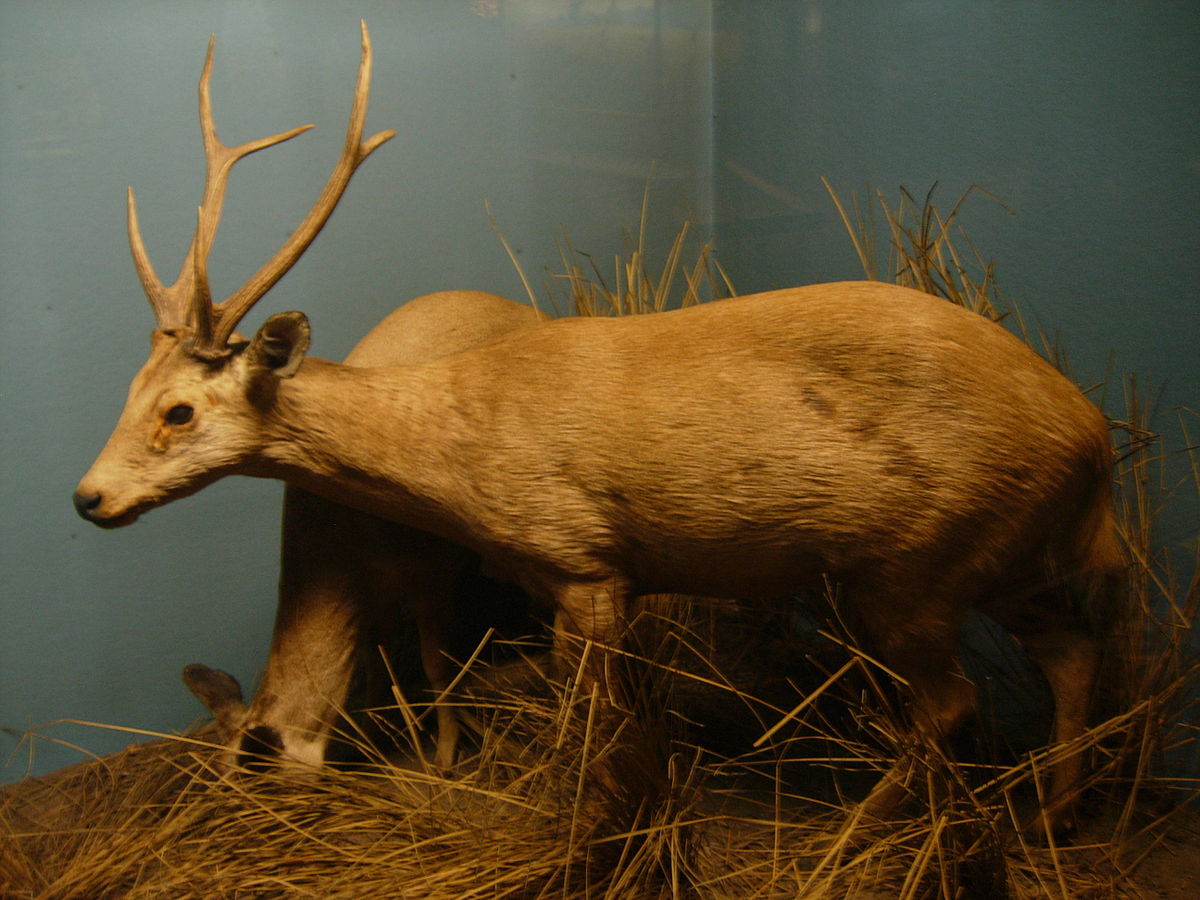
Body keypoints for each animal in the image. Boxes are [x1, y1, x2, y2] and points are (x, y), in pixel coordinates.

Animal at [73, 24, 1124, 838]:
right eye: (127, 389)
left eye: (179, 409)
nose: (88, 497)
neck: (453, 446)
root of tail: (1094, 436)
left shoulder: (583, 559)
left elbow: (590, 725)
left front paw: (581, 820)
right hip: (995, 552)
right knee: (1073, 647)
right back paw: (1054, 816)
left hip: (913, 567)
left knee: (953, 703)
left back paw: (861, 830)